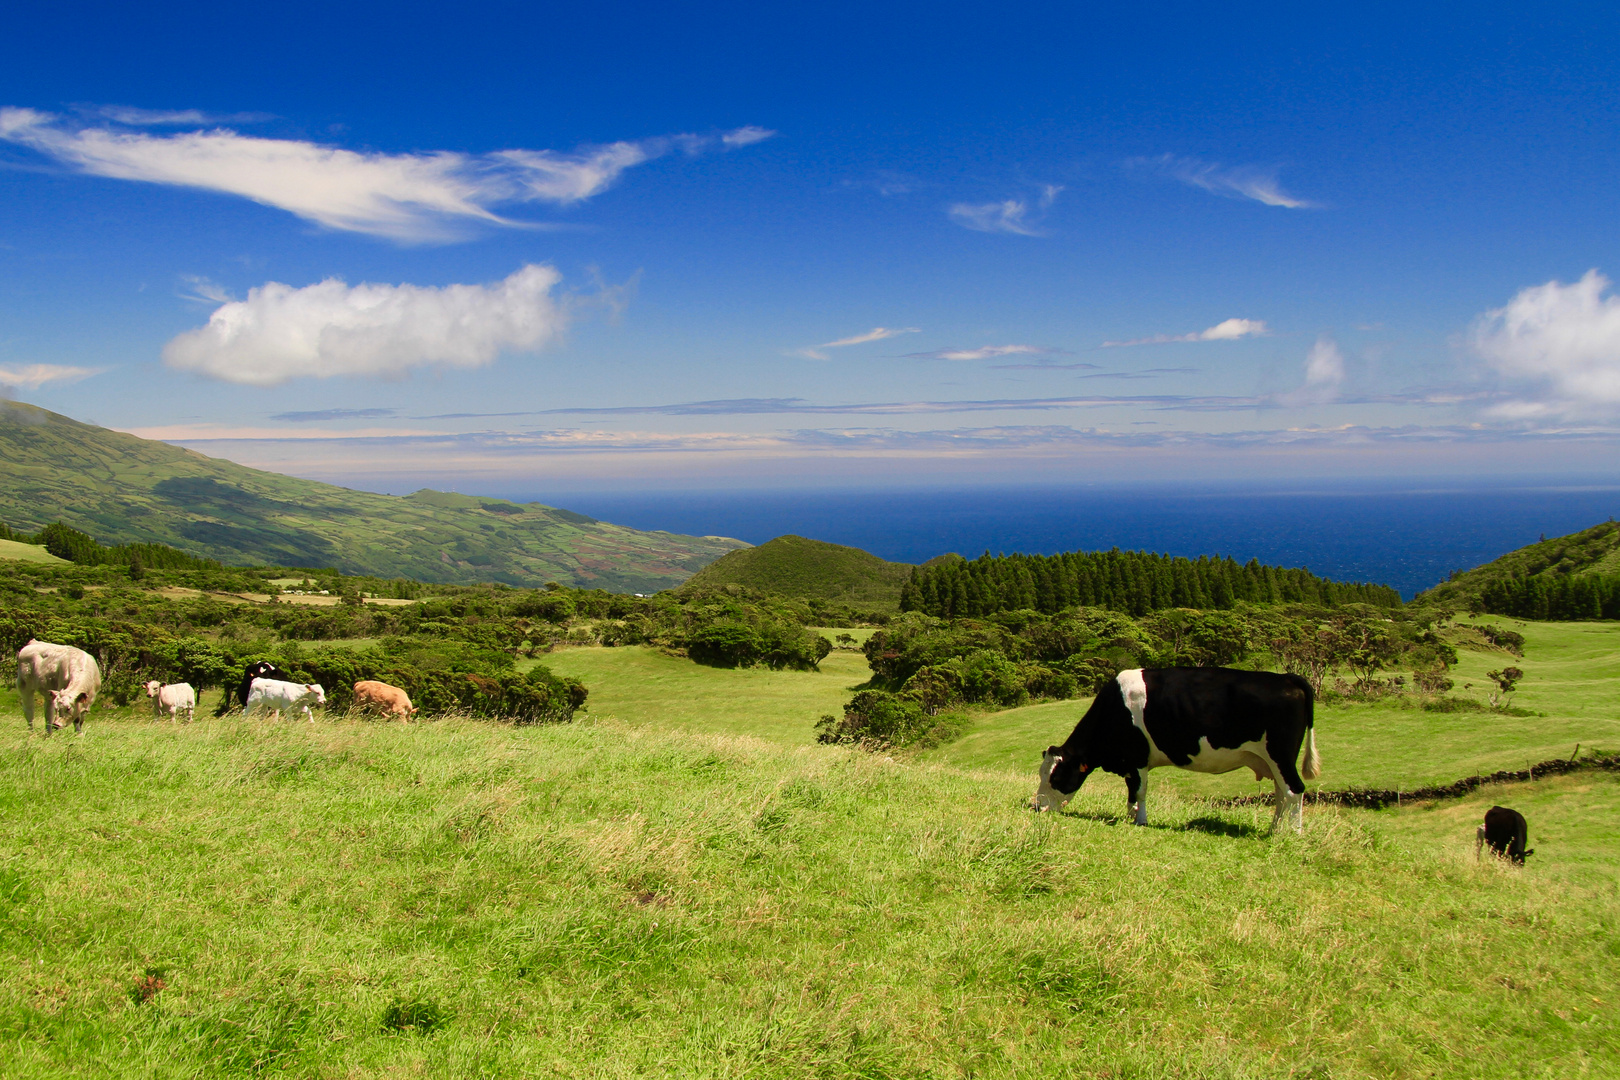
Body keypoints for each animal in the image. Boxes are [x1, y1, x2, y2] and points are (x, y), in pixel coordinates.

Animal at [1030, 667, 1321, 835]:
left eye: (1055, 776)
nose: (1036, 806)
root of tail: (1287, 678)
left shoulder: (1138, 758)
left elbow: (1139, 791)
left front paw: (1141, 821)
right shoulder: (1129, 762)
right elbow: (1130, 792)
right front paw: (1130, 816)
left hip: (1280, 755)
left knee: (1294, 790)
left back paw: (1292, 833)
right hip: (1272, 761)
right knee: (1282, 793)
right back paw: (1274, 829)